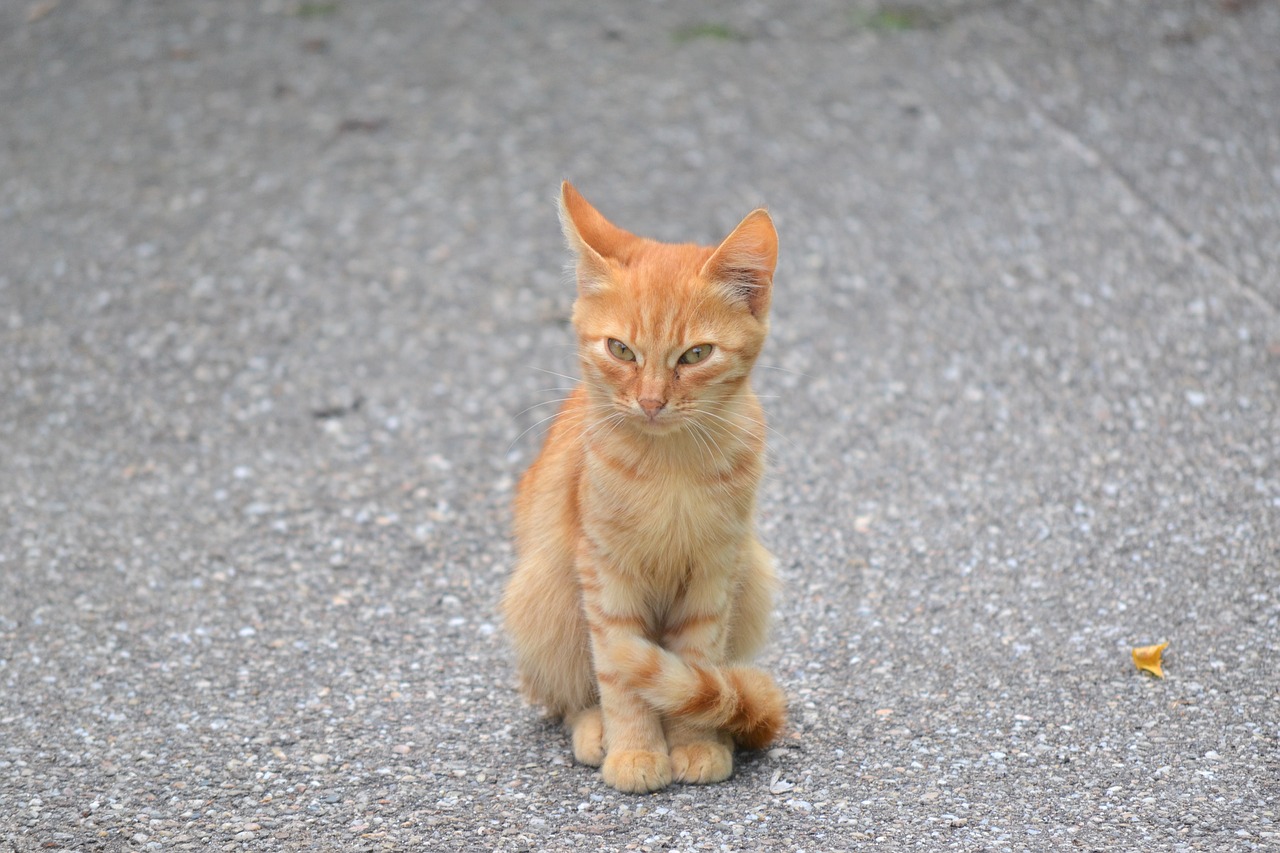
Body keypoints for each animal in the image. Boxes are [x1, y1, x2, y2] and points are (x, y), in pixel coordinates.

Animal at [501, 179, 788, 788]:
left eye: (696, 354)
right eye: (621, 350)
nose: (651, 401)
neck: (671, 466)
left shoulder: (716, 573)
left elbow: (697, 664)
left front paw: (697, 742)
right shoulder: (605, 573)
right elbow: (620, 672)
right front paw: (635, 751)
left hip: (754, 576)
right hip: (543, 592)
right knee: (565, 698)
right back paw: (595, 731)